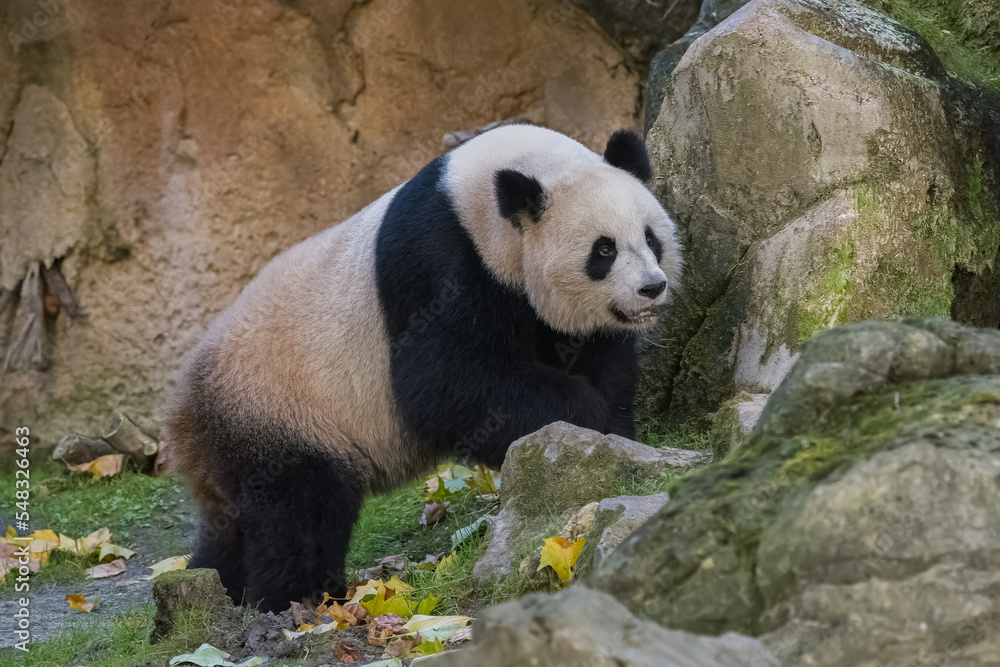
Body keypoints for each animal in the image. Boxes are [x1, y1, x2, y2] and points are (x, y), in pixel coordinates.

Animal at [163, 125, 682, 613]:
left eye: (650, 237)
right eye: (603, 251)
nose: (652, 288)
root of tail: (183, 410)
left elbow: (596, 354)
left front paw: (614, 430)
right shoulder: (440, 264)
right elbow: (445, 385)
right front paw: (589, 421)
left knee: (232, 523)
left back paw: (216, 585)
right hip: (278, 406)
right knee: (297, 508)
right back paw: (292, 598)